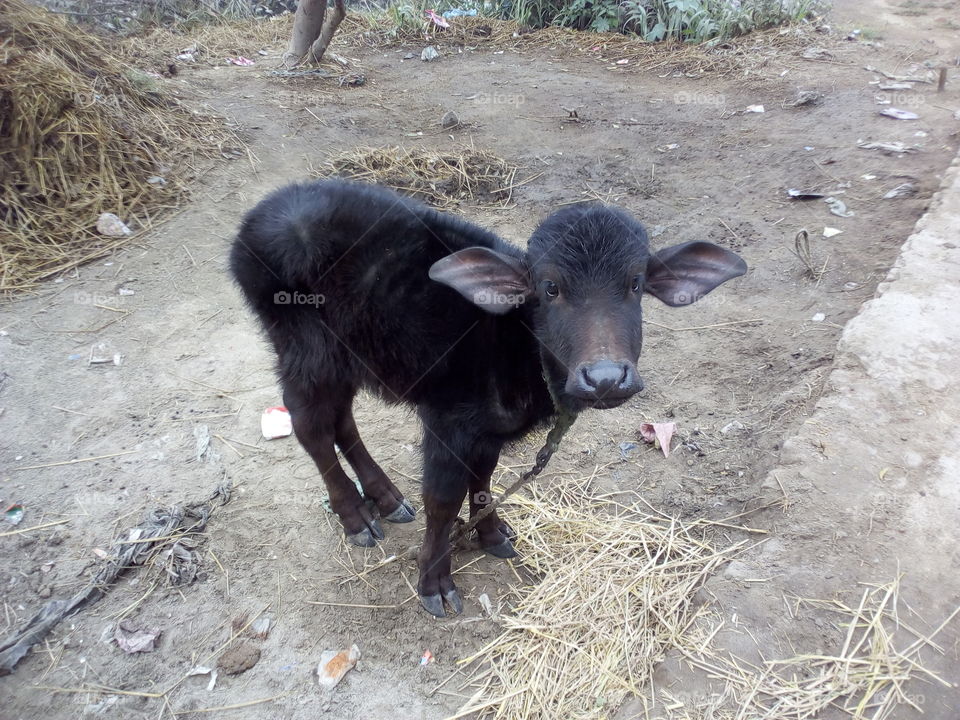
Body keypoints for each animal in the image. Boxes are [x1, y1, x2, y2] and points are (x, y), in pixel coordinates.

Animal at [230, 179, 746, 617]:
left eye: (635, 284)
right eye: (549, 288)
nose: (604, 379)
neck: (514, 344)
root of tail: (258, 218)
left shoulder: (488, 431)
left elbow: (482, 481)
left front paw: (493, 534)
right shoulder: (448, 422)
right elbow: (442, 499)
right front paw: (434, 582)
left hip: (347, 358)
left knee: (341, 421)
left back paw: (386, 498)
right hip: (304, 352)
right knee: (311, 426)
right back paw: (355, 517)